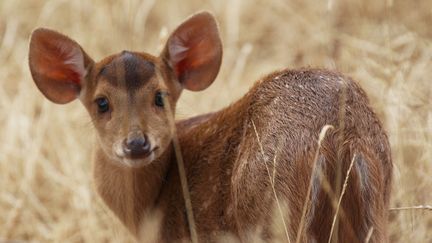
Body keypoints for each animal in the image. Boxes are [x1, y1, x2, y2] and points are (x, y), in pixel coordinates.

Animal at [27, 11, 392, 243]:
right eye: (101, 102)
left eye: (160, 95)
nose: (136, 143)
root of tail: (338, 136)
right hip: (376, 208)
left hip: (273, 212)